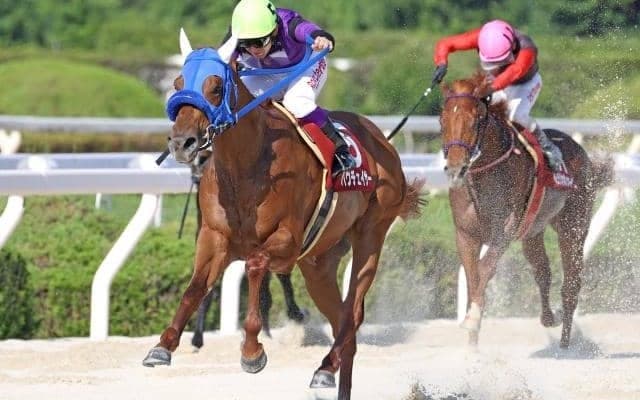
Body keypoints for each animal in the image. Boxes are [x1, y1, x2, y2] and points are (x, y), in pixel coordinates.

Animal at [439, 73, 613, 348]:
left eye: (476, 120)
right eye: (442, 119)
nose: (456, 169)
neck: (485, 173)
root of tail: (580, 151)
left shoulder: (505, 230)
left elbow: (485, 268)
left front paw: (473, 319)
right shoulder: (465, 234)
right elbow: (472, 275)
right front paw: (471, 344)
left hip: (573, 226)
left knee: (571, 284)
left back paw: (564, 345)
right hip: (533, 232)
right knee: (543, 271)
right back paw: (549, 317)